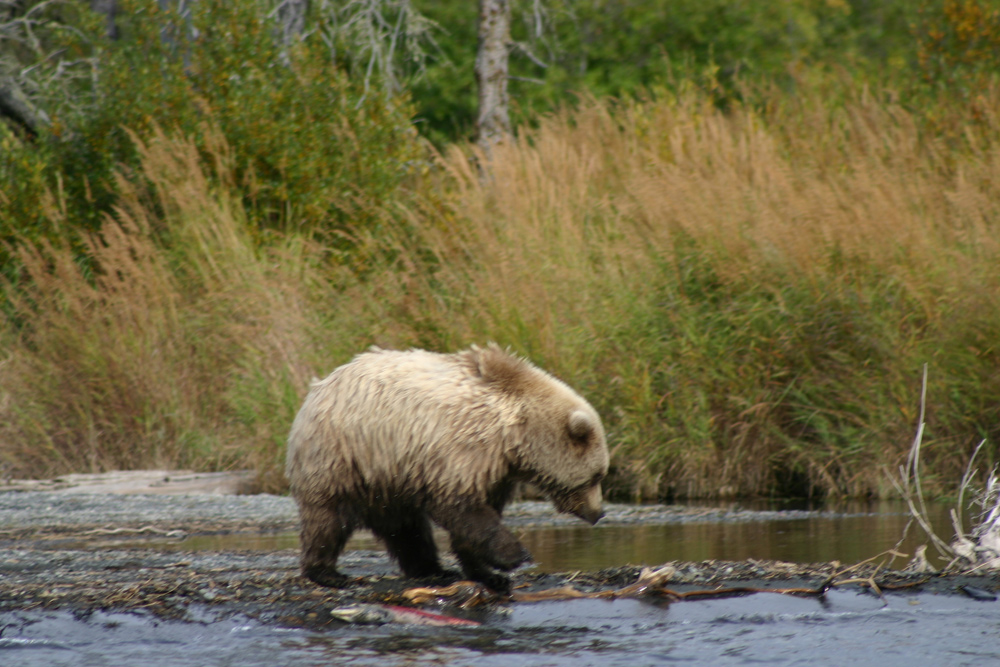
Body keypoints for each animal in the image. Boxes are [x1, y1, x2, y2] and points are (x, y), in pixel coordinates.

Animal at [284, 342, 608, 592]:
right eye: (596, 476)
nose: (599, 512)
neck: (514, 433)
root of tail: (319, 386)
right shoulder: (463, 451)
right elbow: (463, 508)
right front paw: (515, 556)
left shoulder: (497, 470)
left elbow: (475, 518)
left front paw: (489, 573)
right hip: (343, 455)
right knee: (327, 518)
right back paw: (327, 573)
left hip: (392, 476)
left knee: (407, 529)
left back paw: (432, 569)